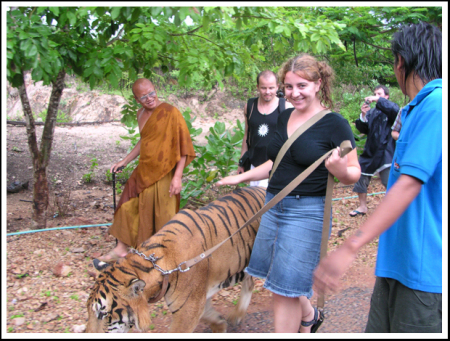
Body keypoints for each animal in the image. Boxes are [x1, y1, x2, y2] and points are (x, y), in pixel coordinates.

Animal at [86, 185, 266, 330]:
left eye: (103, 314)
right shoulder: (200, 298)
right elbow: (210, 316)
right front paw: (220, 324)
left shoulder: (188, 309)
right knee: (249, 282)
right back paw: (236, 316)